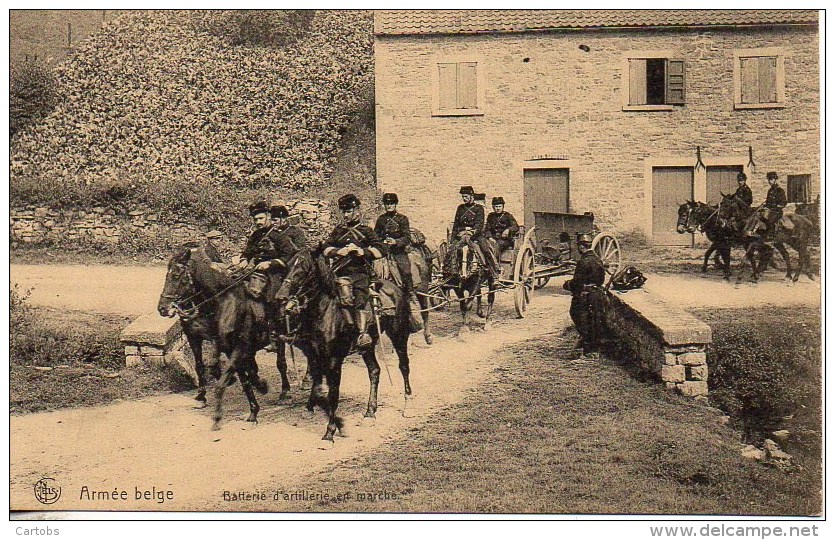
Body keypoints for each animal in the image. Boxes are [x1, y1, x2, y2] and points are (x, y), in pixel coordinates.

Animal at [158, 245, 292, 430]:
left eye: (177, 276)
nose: (162, 308)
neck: (225, 304)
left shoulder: (236, 347)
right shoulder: (204, 340)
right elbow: (212, 368)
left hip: (280, 337)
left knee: (282, 363)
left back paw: (286, 391)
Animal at [276, 249, 416, 442]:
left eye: (303, 270)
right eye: (288, 266)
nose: (280, 297)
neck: (324, 311)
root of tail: (396, 288)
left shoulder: (334, 360)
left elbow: (333, 394)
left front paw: (330, 432)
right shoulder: (314, 356)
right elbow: (318, 387)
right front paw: (315, 409)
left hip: (399, 335)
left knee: (404, 366)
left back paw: (407, 405)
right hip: (368, 345)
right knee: (374, 371)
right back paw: (370, 413)